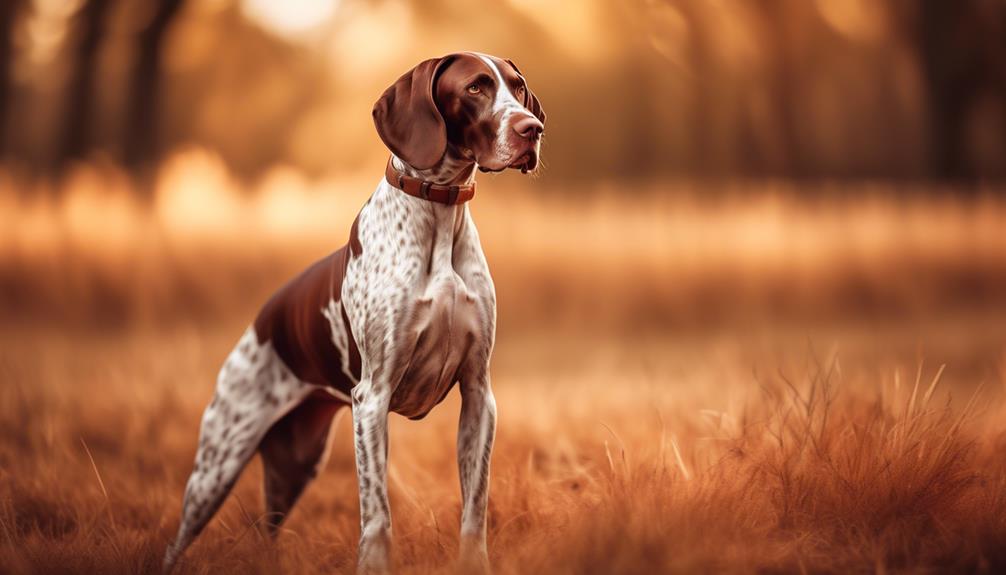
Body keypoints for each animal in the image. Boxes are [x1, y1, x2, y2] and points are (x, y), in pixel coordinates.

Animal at [162, 51, 543, 570]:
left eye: (518, 87)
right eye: (475, 88)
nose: (533, 129)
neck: (439, 216)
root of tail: (262, 319)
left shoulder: (478, 395)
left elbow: (474, 506)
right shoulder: (372, 400)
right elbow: (377, 513)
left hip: (294, 463)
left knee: (264, 530)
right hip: (218, 464)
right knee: (177, 541)